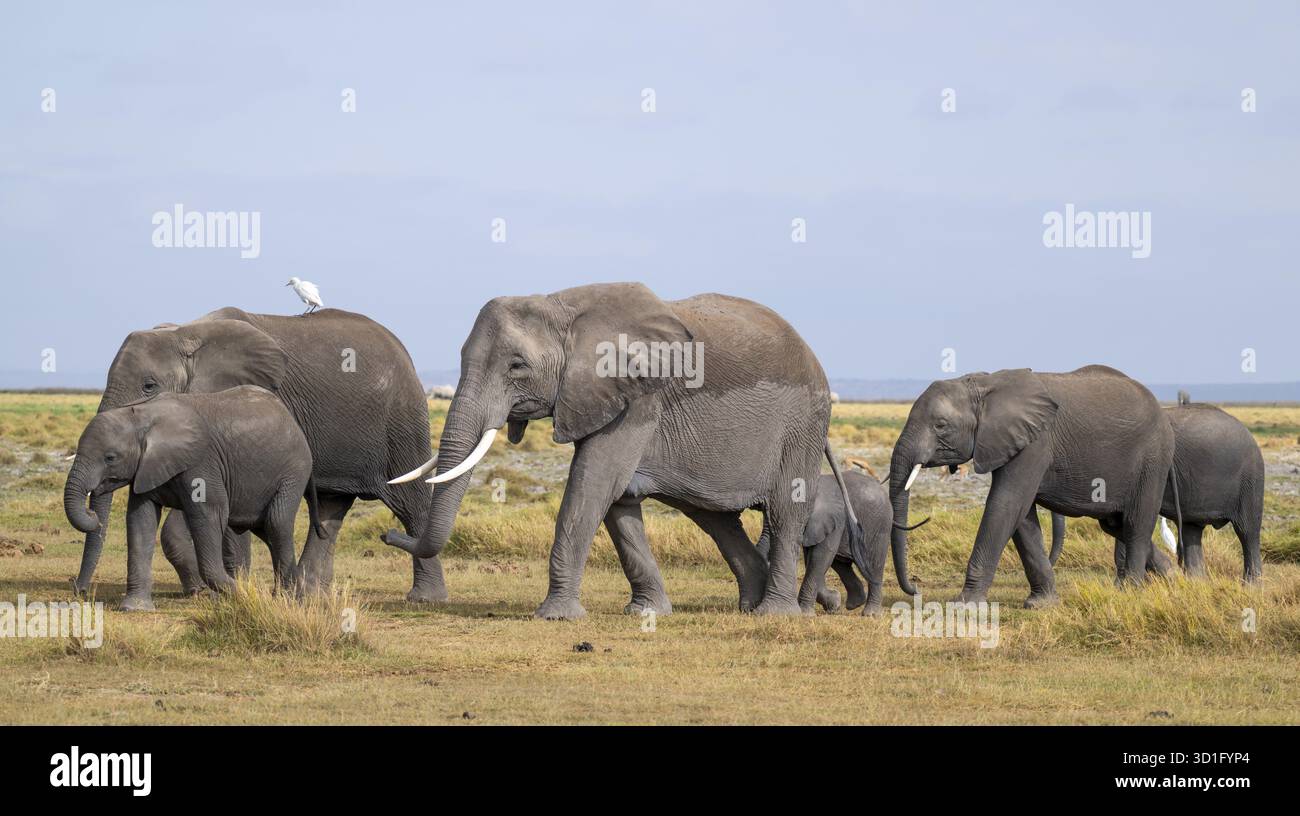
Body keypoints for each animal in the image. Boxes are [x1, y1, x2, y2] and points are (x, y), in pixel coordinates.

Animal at [63, 387, 324, 607]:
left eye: (110, 458)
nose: (80, 591)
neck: (142, 415)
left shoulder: (202, 462)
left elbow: (209, 514)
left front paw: (245, 595)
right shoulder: (147, 469)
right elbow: (140, 521)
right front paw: (134, 608)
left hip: (294, 471)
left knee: (277, 522)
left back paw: (288, 600)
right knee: (267, 530)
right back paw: (287, 596)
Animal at [383, 282, 866, 618]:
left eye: (517, 366)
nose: (388, 535)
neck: (563, 306)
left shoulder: (639, 401)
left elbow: (594, 484)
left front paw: (555, 617)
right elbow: (618, 500)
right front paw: (646, 613)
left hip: (802, 426)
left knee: (785, 512)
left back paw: (776, 613)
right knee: (717, 519)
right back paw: (750, 606)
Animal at [888, 365, 1176, 608]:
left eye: (940, 425)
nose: (916, 588)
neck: (983, 385)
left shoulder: (1035, 443)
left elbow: (1006, 503)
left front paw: (964, 604)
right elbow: (1022, 516)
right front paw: (1041, 605)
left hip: (1153, 458)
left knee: (1136, 523)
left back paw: (1131, 590)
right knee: (1115, 524)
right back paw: (1171, 575)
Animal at [1048, 402, 1263, 582]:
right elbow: (1115, 525)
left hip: (1250, 479)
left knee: (1247, 531)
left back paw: (1251, 586)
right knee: (1192, 530)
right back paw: (1197, 583)